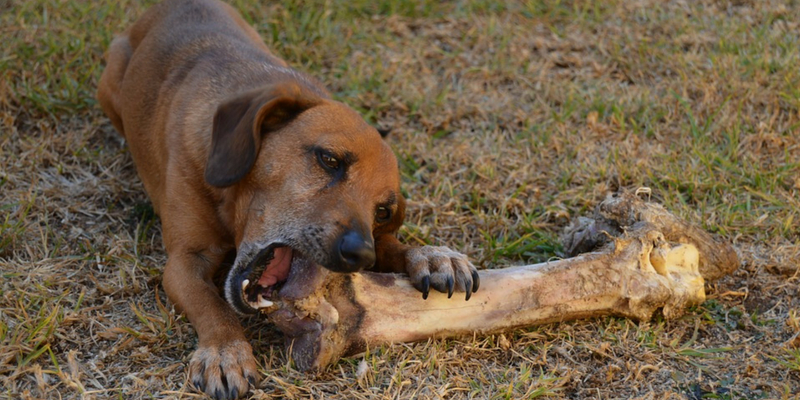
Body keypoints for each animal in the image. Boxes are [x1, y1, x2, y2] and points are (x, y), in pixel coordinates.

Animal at [97, 1, 478, 398]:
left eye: (383, 211)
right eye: (330, 159)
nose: (362, 255)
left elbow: (393, 246)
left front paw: (431, 256)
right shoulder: (184, 261)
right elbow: (212, 305)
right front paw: (225, 351)